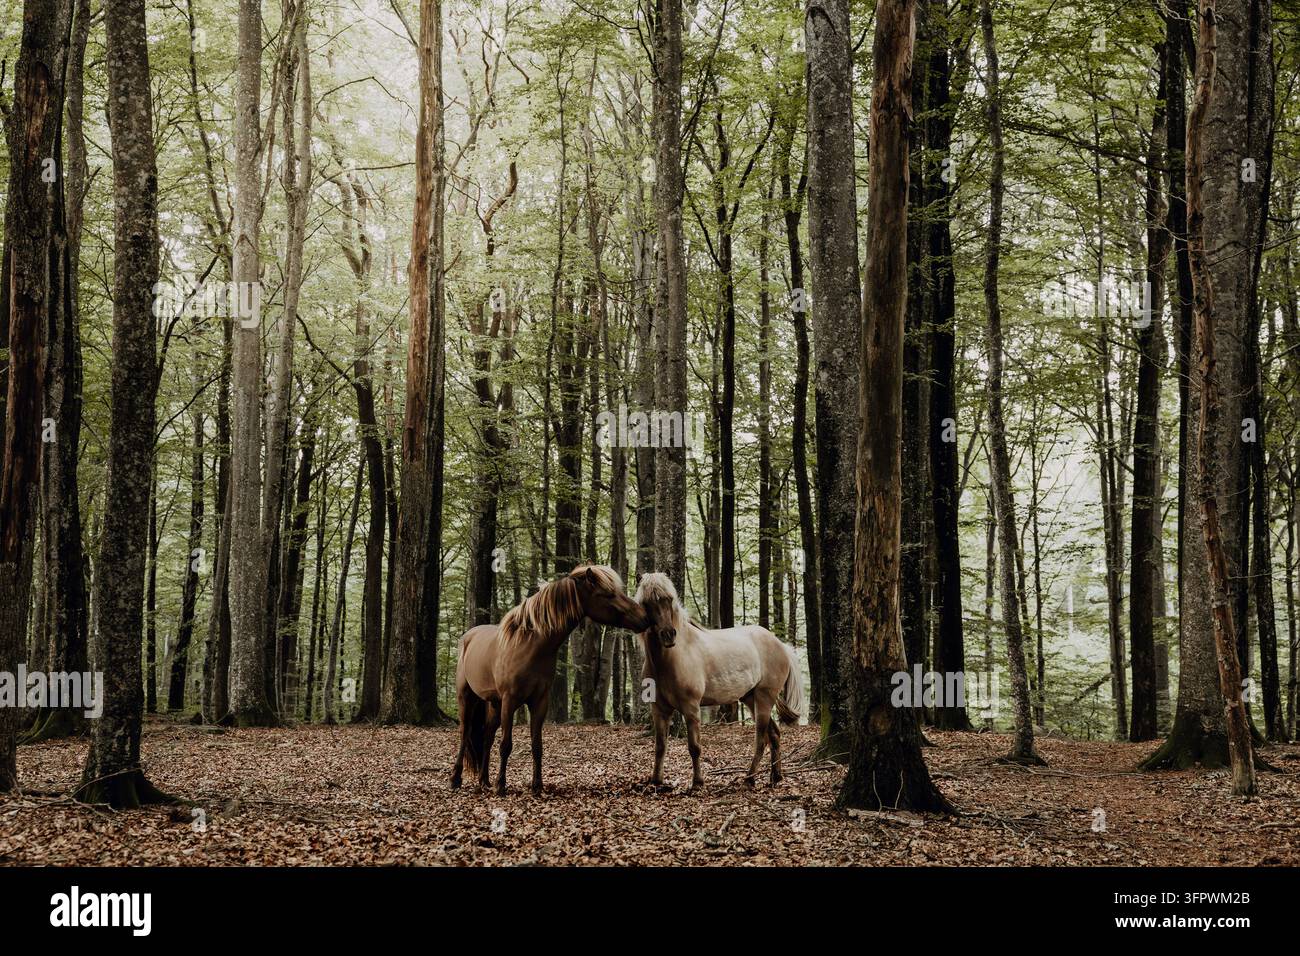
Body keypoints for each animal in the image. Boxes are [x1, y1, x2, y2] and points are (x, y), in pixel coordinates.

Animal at [452, 564, 648, 796]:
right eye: (608, 594)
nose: (644, 617)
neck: (529, 646)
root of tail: (468, 636)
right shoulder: (510, 700)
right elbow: (506, 745)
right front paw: (502, 785)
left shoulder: (540, 701)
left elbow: (537, 745)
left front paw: (537, 786)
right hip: (468, 697)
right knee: (465, 733)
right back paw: (456, 779)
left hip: (494, 703)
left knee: (487, 736)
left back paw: (484, 780)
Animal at [634, 572, 805, 790]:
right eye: (647, 602)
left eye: (669, 599)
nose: (669, 635)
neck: (671, 658)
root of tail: (781, 645)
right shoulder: (659, 709)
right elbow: (660, 746)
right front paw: (656, 781)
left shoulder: (691, 708)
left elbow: (694, 747)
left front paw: (697, 783)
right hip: (750, 698)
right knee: (774, 734)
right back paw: (776, 777)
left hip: (764, 698)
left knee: (761, 740)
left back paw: (749, 778)